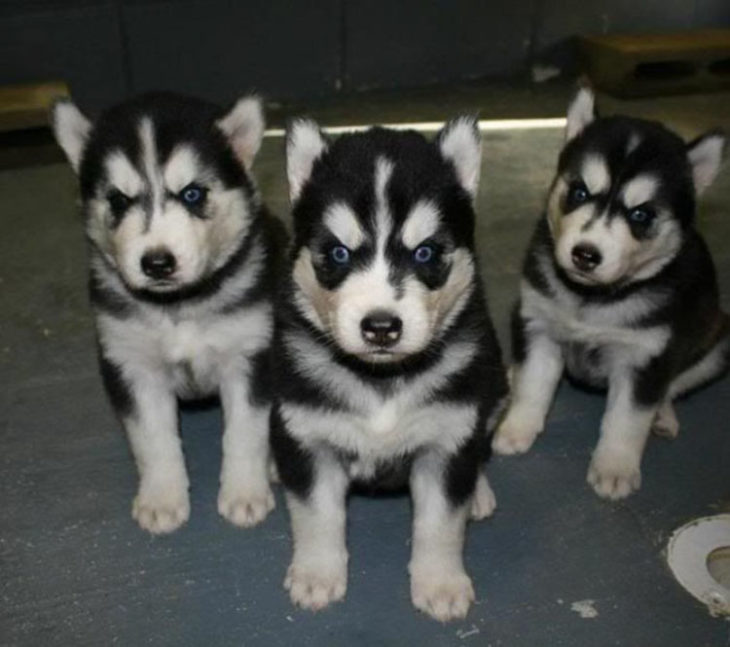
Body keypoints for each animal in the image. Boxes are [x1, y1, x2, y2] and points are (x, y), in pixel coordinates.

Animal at [50, 93, 284, 536]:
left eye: (192, 194)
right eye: (118, 200)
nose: (157, 263)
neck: (178, 306)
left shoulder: (250, 356)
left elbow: (245, 433)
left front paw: (245, 493)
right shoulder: (132, 364)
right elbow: (153, 440)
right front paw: (161, 498)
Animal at [268, 117, 506, 624]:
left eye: (425, 253)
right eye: (338, 254)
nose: (381, 326)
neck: (381, 379)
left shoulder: (447, 438)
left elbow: (441, 522)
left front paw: (440, 583)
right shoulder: (310, 436)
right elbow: (316, 515)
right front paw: (317, 573)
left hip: (497, 383)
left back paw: (478, 490)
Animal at [492, 86, 724, 502]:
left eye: (641, 215)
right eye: (579, 192)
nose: (585, 254)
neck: (590, 300)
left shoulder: (645, 356)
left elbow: (627, 419)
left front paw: (615, 468)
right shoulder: (538, 325)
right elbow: (534, 385)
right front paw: (516, 429)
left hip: (717, 345)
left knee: (672, 387)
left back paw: (663, 416)